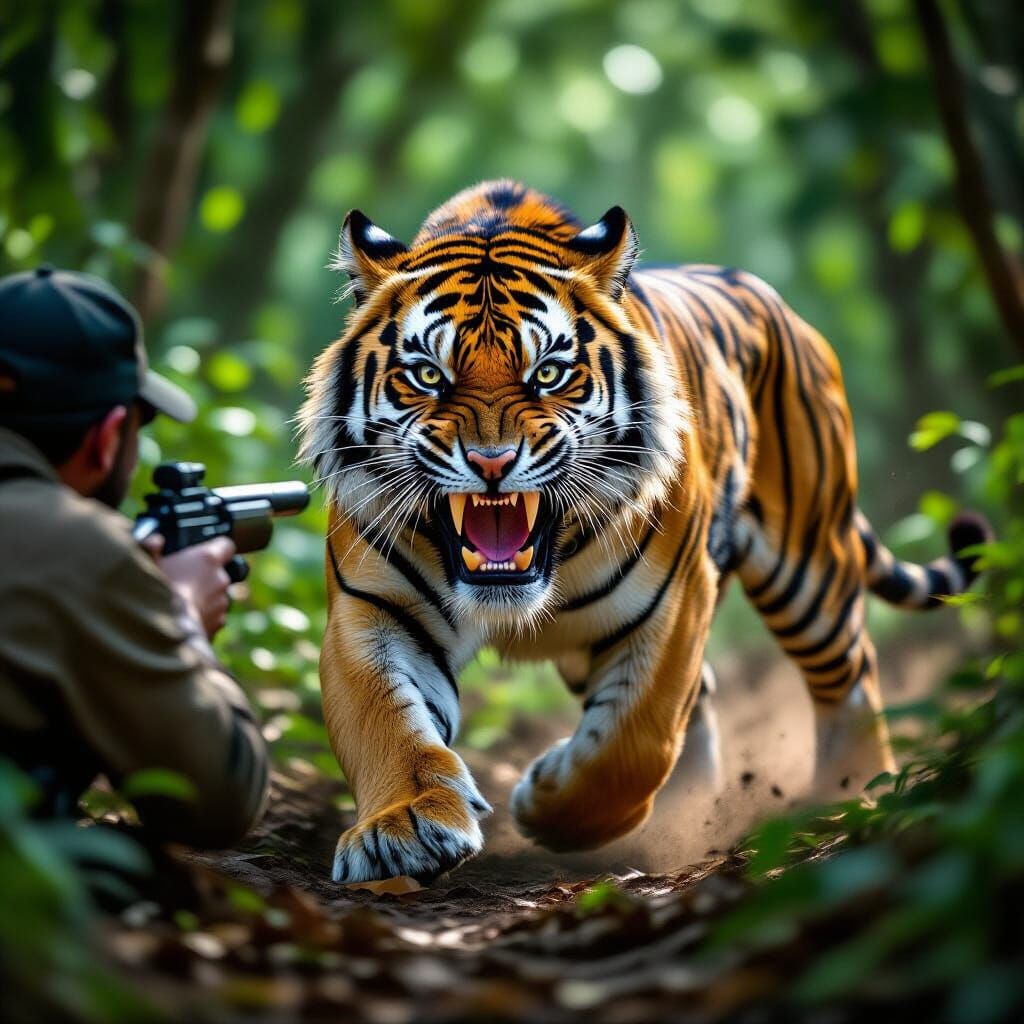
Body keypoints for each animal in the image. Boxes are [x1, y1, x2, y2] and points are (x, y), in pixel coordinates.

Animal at [297, 180, 989, 884]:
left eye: (548, 373)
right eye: (428, 375)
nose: (492, 462)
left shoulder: (674, 600)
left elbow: (634, 744)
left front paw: (549, 803)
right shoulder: (375, 609)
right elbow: (385, 721)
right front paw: (404, 826)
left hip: (810, 566)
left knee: (848, 674)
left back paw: (850, 795)